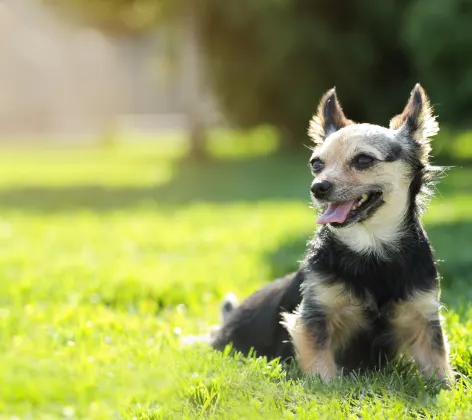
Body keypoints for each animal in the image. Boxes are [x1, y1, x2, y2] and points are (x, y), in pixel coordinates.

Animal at [205, 84, 452, 384]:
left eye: (364, 160)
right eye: (316, 164)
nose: (318, 187)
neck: (371, 247)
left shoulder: (424, 318)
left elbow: (440, 368)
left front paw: (447, 388)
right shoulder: (314, 318)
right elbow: (322, 370)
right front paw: (327, 387)